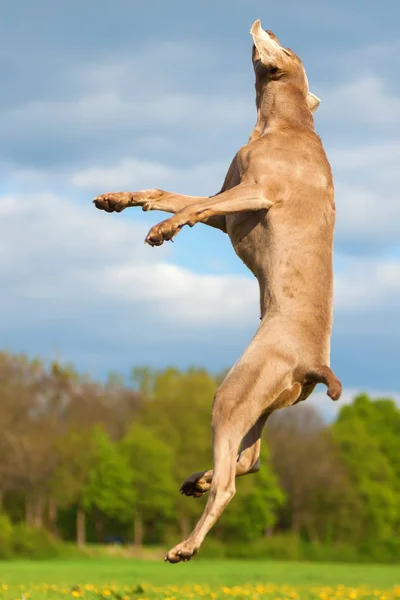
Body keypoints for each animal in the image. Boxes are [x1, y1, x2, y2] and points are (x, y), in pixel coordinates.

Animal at [94, 18, 340, 564]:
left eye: (284, 46)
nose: (266, 23)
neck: (286, 124)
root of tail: (316, 364)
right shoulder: (227, 203)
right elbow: (170, 195)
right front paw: (117, 200)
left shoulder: (256, 192)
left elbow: (192, 208)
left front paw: (162, 230)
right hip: (261, 407)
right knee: (248, 462)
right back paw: (198, 479)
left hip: (235, 394)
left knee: (232, 481)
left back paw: (186, 544)